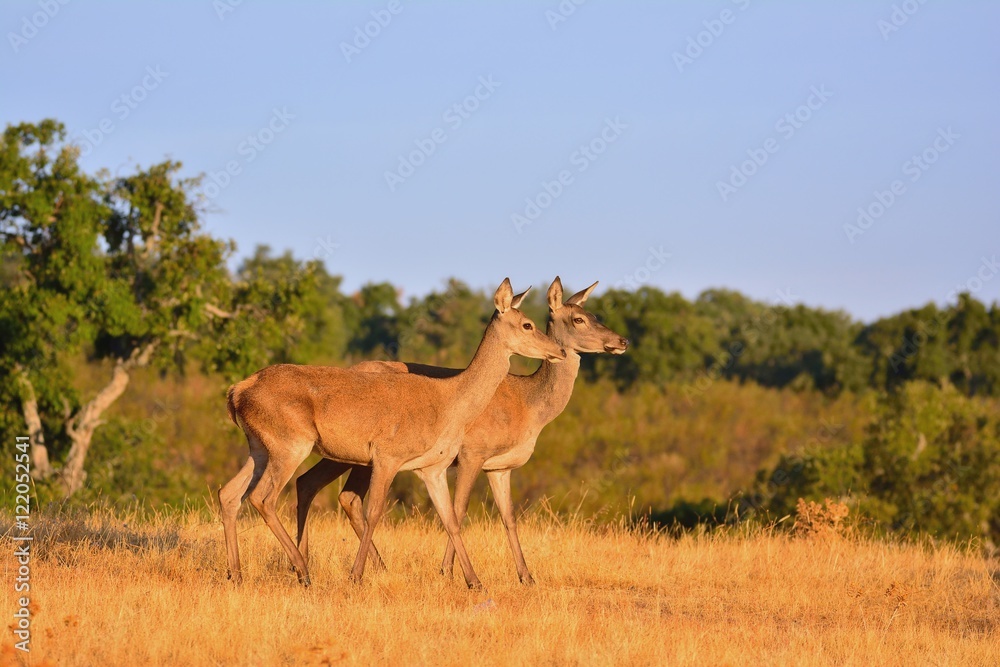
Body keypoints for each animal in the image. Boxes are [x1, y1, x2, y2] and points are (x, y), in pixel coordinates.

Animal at [219, 279, 567, 589]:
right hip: (290, 444)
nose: (561, 350)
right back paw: (303, 572)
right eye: (527, 324)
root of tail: (236, 392)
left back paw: (236, 574)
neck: (450, 403)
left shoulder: (433, 467)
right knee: (263, 497)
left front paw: (474, 582)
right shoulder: (388, 455)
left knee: (230, 493)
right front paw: (356, 576)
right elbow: (374, 512)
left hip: (260, 447)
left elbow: (450, 519)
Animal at [294, 277, 628, 585]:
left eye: (595, 314)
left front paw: (527, 576)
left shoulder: (500, 466)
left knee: (316, 485)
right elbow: (459, 509)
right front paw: (447, 571)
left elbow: (508, 516)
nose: (622, 341)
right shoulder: (472, 453)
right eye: (578, 319)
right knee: (342, 494)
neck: (529, 407)